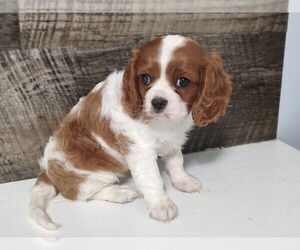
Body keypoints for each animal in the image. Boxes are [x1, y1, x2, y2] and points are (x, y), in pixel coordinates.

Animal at [28, 35, 231, 230]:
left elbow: (176, 162)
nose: (157, 102)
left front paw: (183, 181)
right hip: (94, 173)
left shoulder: (172, 141)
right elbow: (153, 179)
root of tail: (46, 169)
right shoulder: (139, 148)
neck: (162, 124)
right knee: (81, 193)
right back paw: (120, 192)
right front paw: (160, 205)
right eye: (145, 79)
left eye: (183, 82)